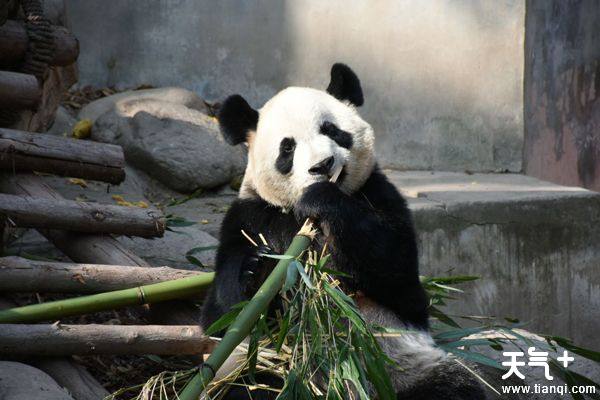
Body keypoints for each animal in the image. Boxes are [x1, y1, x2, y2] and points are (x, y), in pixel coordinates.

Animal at [200, 64, 488, 398]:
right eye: (287, 148)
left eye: (332, 130)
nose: (323, 165)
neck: (299, 214)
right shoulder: (249, 217)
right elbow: (221, 319)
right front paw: (256, 268)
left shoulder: (379, 194)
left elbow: (395, 266)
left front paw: (322, 198)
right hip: (266, 368)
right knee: (247, 385)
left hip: (408, 368)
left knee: (453, 385)